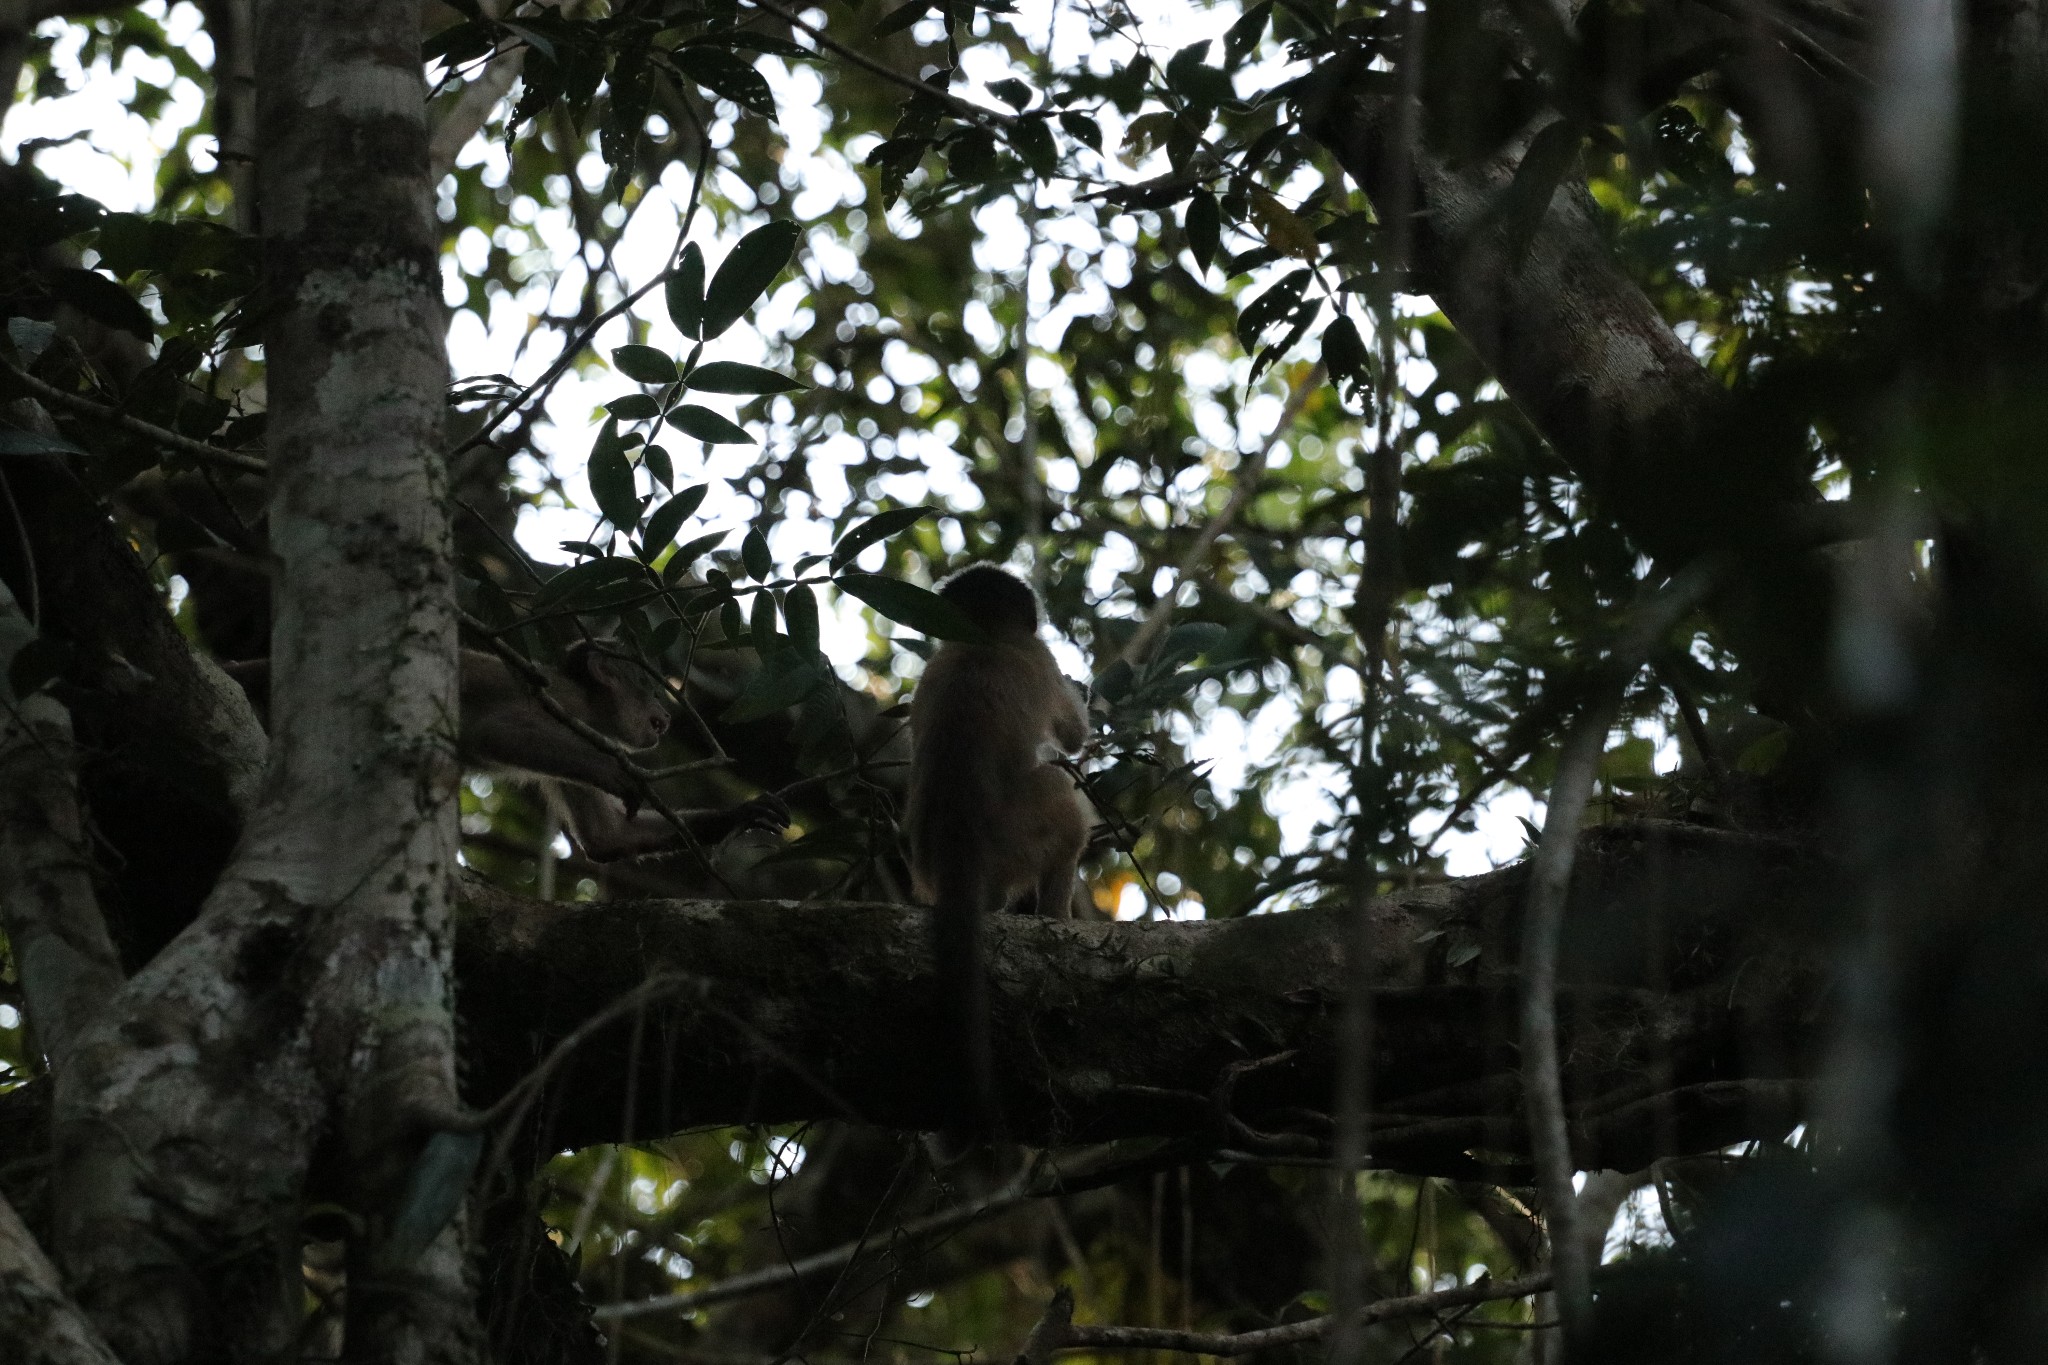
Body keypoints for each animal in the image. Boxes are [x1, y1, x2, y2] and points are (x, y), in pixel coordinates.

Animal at [226, 642, 782, 863]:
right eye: (646, 684)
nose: (664, 714)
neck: (589, 706)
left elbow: (607, 839)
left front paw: (743, 814)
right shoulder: (559, 706)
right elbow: (495, 733)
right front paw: (618, 774)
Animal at [905, 560, 1097, 1137]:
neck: (984, 632)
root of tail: (958, 842)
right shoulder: (1040, 656)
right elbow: (1073, 735)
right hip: (1020, 833)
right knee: (1063, 794)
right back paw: (1058, 915)